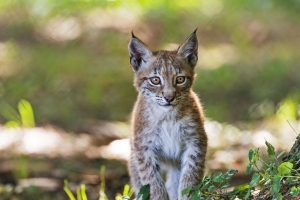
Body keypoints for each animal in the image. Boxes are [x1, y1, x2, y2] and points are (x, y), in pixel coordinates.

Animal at [127, 30, 207, 200]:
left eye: (180, 79)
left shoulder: (196, 141)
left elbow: (190, 178)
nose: (169, 98)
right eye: (155, 80)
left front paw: (188, 196)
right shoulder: (144, 148)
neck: (167, 117)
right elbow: (153, 183)